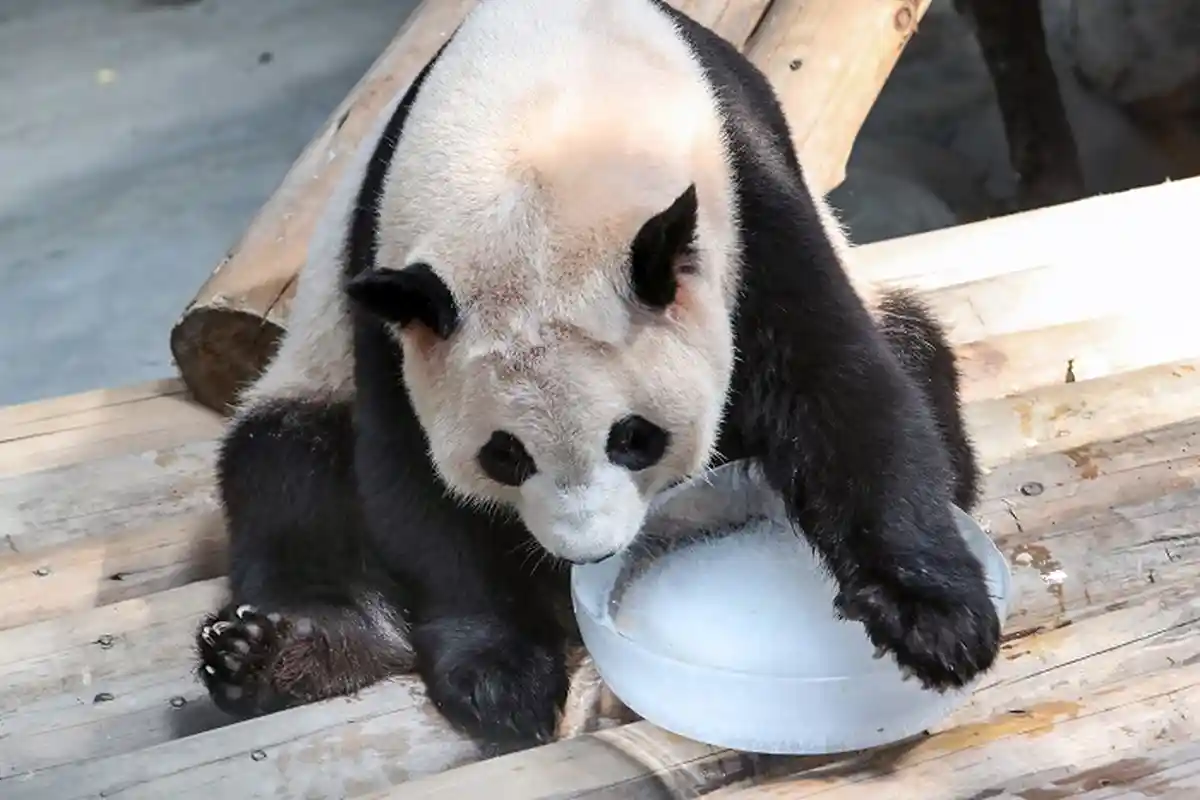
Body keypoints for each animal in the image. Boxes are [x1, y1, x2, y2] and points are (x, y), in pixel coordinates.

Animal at [195, 0, 999, 750]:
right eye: (504, 455)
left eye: (633, 438)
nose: (588, 552)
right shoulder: (384, 275)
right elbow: (411, 481)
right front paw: (500, 673)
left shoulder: (749, 198)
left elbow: (837, 386)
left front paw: (933, 622)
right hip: (311, 370)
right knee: (287, 471)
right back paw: (281, 649)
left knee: (917, 359)